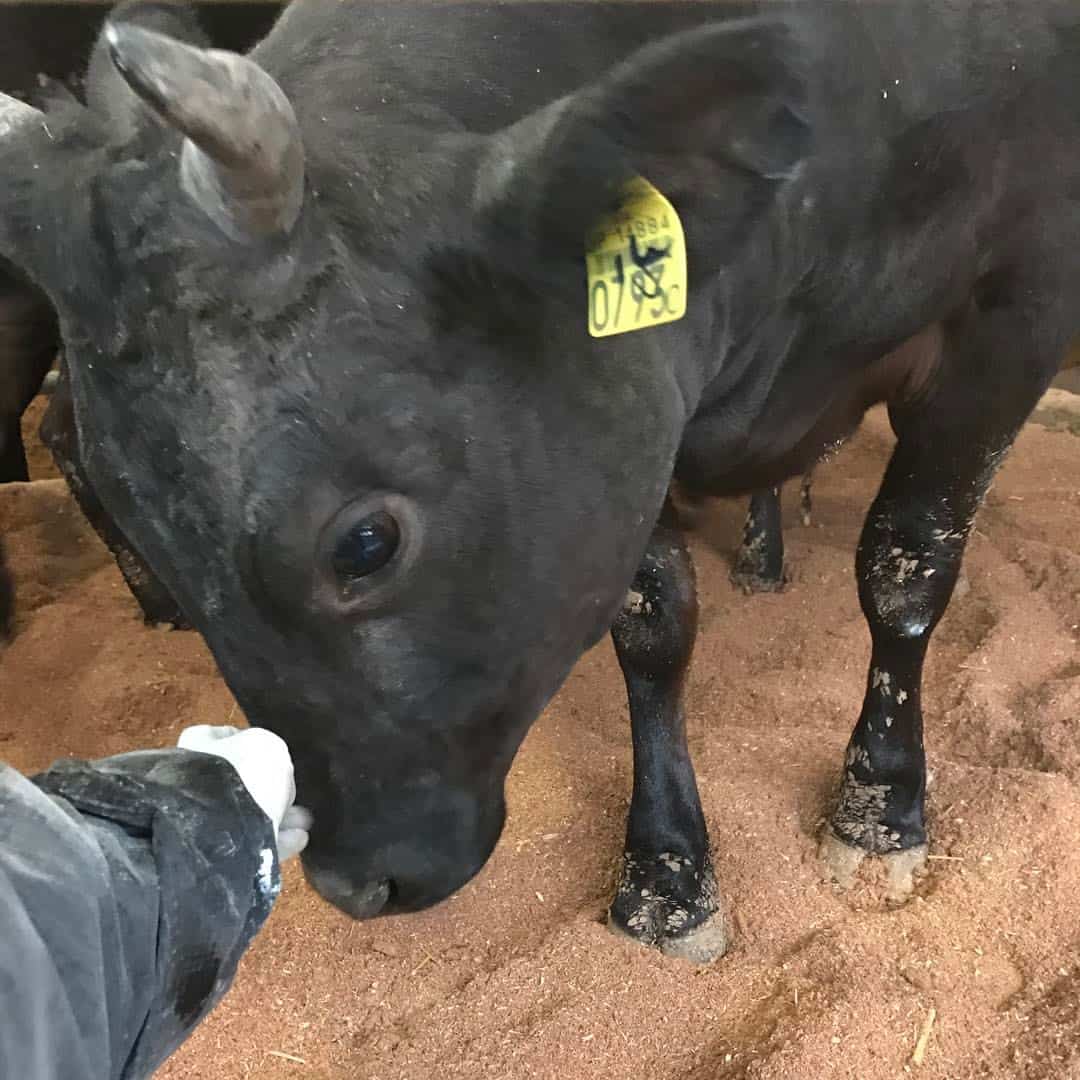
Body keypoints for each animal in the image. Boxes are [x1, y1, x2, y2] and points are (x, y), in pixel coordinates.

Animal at [0, 0, 1074, 962]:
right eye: (141, 523)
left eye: (365, 542)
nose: (355, 881)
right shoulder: (630, 411)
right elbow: (652, 623)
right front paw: (668, 878)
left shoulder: (1019, 308)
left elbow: (906, 566)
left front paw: (880, 809)